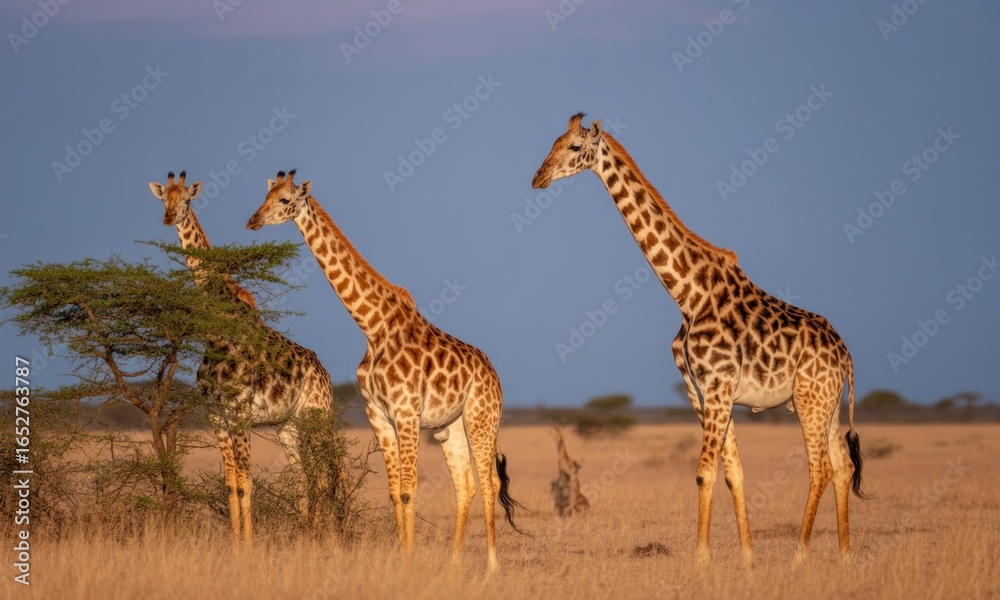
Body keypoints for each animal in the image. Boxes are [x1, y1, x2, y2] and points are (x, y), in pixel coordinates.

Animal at [148, 171, 340, 541]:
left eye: (187, 200)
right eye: (163, 198)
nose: (167, 217)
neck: (217, 331)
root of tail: (325, 372)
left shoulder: (239, 414)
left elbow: (246, 483)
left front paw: (249, 545)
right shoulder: (217, 416)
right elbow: (230, 483)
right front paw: (235, 543)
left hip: (318, 416)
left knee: (325, 476)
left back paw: (327, 539)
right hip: (288, 425)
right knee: (303, 478)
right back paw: (306, 537)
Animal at [246, 170, 524, 573]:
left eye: (284, 200)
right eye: (264, 196)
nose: (252, 221)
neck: (372, 326)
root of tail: (495, 375)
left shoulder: (406, 412)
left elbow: (409, 489)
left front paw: (408, 563)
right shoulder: (378, 414)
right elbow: (395, 492)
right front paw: (400, 558)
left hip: (481, 419)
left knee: (489, 483)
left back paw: (491, 567)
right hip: (449, 426)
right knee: (466, 485)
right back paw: (454, 563)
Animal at [532, 114, 867, 567]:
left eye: (571, 147)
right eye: (552, 143)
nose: (538, 178)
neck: (687, 295)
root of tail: (845, 354)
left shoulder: (718, 383)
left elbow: (704, 472)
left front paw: (701, 559)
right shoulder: (700, 389)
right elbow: (732, 473)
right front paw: (747, 559)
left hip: (811, 398)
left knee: (822, 468)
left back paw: (800, 556)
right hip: (825, 401)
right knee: (843, 465)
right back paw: (845, 555)